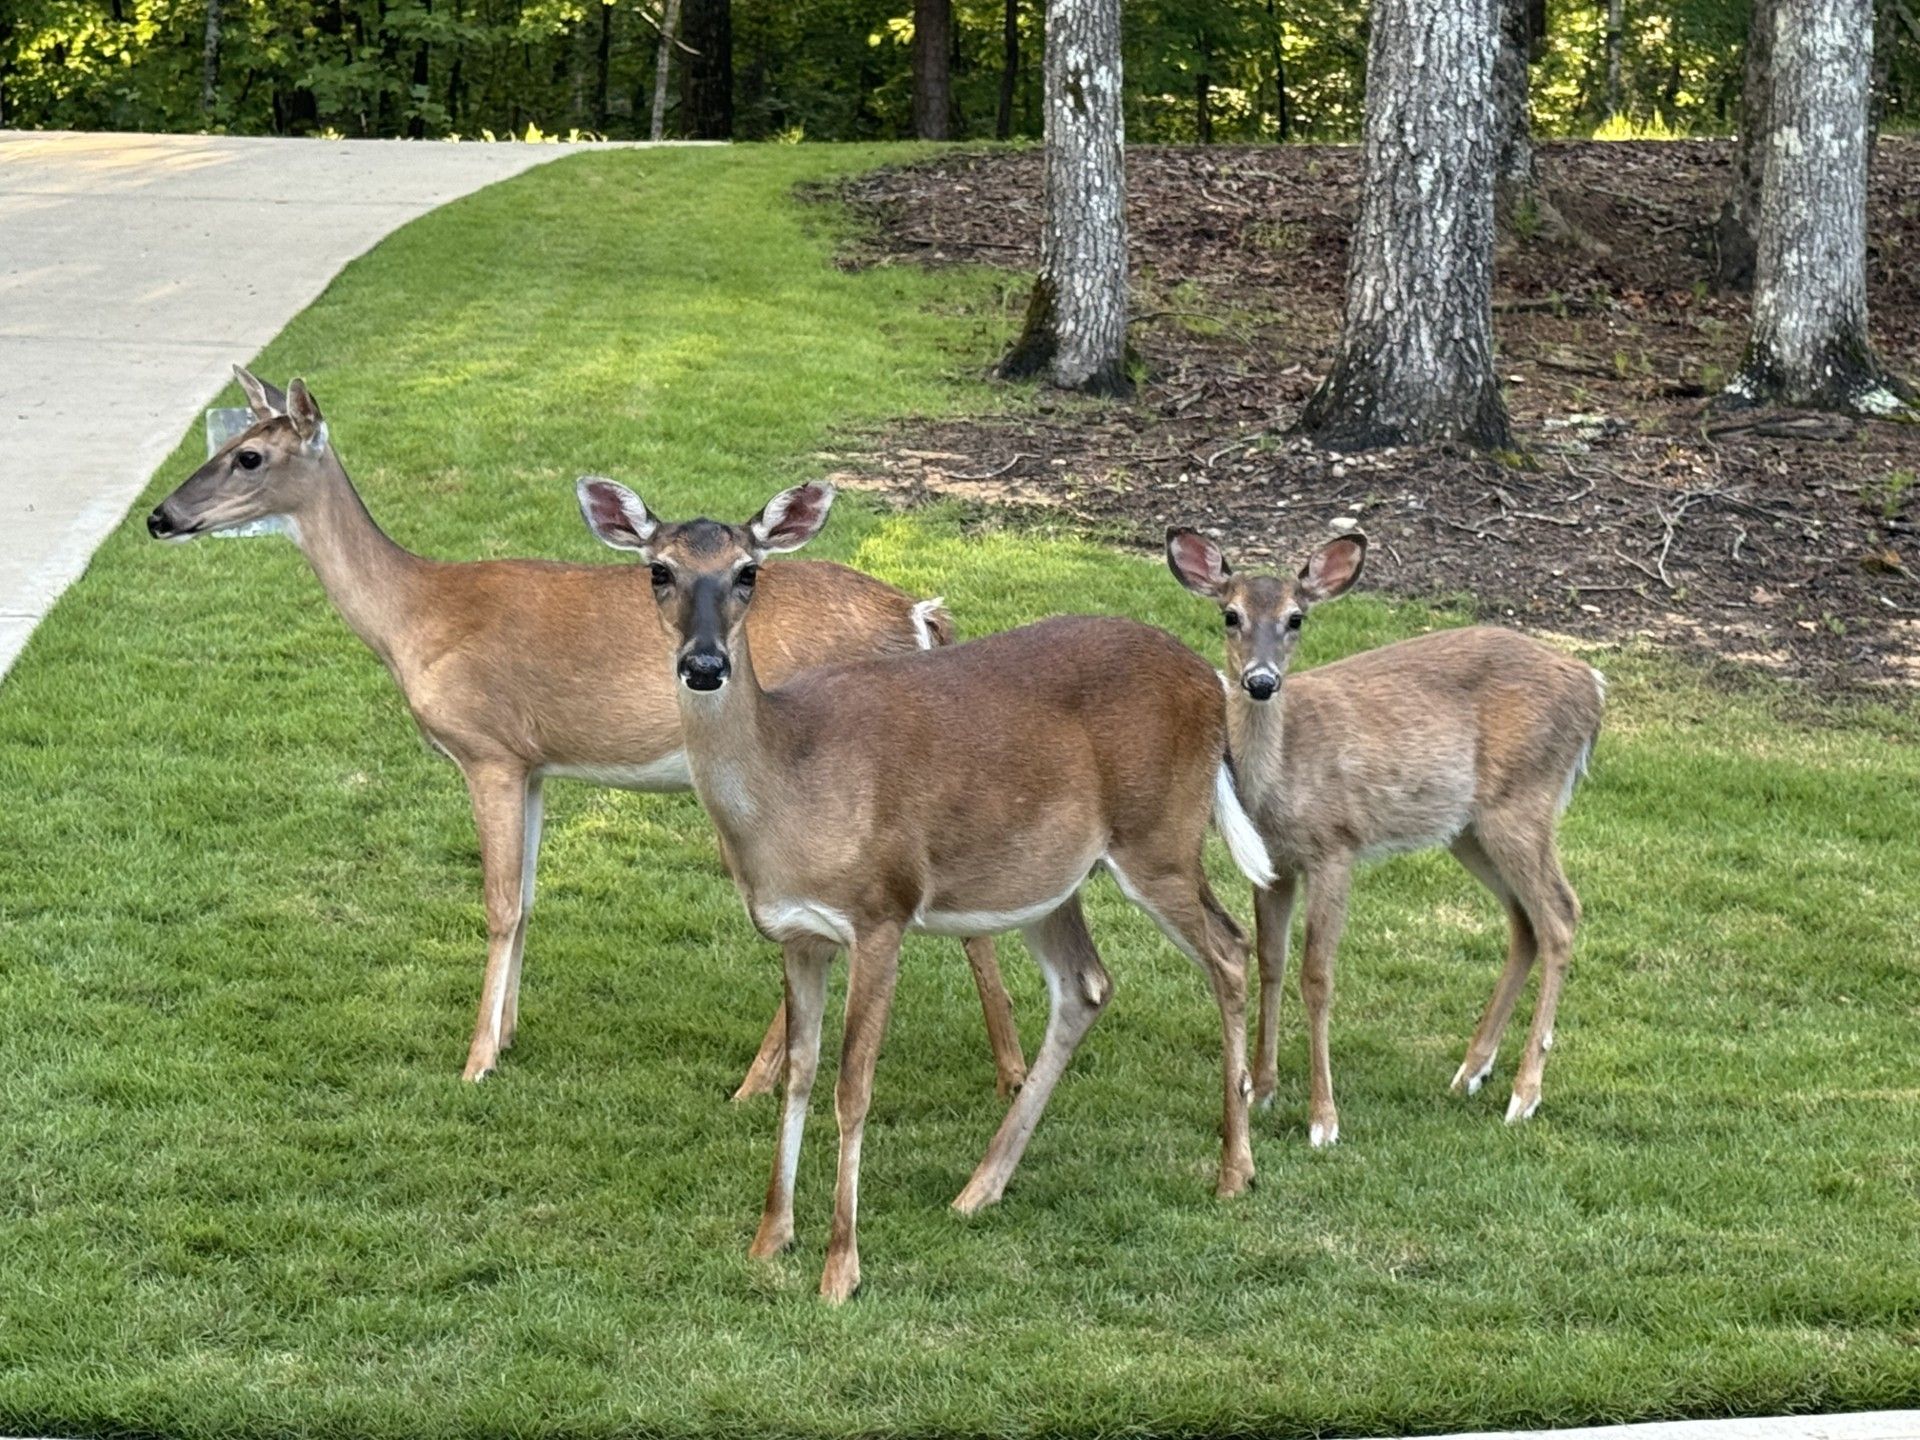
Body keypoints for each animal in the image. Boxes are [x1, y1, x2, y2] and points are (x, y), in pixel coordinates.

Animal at [145, 367, 1026, 1100]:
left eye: (250, 456)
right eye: (221, 444)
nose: (160, 517)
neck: (413, 618)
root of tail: (920, 614)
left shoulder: (490, 750)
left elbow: (499, 903)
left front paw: (475, 1061)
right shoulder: (535, 763)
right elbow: (532, 896)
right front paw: (507, 1035)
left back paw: (763, 1083)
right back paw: (1007, 1070)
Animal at [579, 478, 1272, 1302]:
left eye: (749, 571)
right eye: (659, 570)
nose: (706, 663)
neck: (791, 785)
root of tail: (1211, 682)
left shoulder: (882, 909)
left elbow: (852, 1087)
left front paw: (840, 1269)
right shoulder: (795, 932)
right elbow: (801, 1075)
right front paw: (770, 1239)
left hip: (1158, 837)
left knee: (1228, 948)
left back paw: (1235, 1170)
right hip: (1046, 875)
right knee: (1088, 983)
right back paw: (980, 1188)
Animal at [1165, 527, 1604, 1145]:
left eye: (1296, 618)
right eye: (1231, 615)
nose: (1261, 681)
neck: (1281, 775)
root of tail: (1594, 686)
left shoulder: (1335, 847)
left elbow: (1317, 976)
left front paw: (1323, 1120)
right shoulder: (1275, 864)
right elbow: (1271, 962)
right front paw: (1265, 1089)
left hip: (1524, 800)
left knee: (1561, 914)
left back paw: (1524, 1094)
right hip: (1468, 828)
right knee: (1526, 921)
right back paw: (1471, 1071)